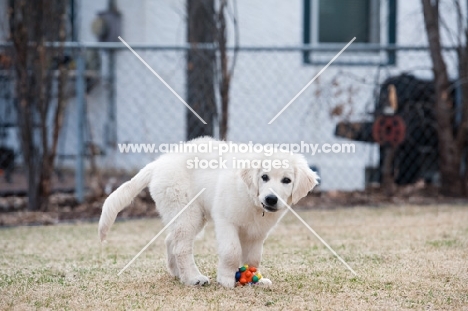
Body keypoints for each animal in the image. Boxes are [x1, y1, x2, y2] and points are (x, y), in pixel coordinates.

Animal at [98, 138, 318, 288]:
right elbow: (231, 251)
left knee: (171, 240)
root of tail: (159, 162)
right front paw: (227, 279)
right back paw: (193, 278)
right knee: (181, 247)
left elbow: (254, 258)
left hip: (190, 215)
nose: (271, 199)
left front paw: (254, 279)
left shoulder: (257, 233)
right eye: (264, 177)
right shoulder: (226, 221)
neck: (253, 199)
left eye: (286, 180)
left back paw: (178, 273)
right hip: (187, 211)